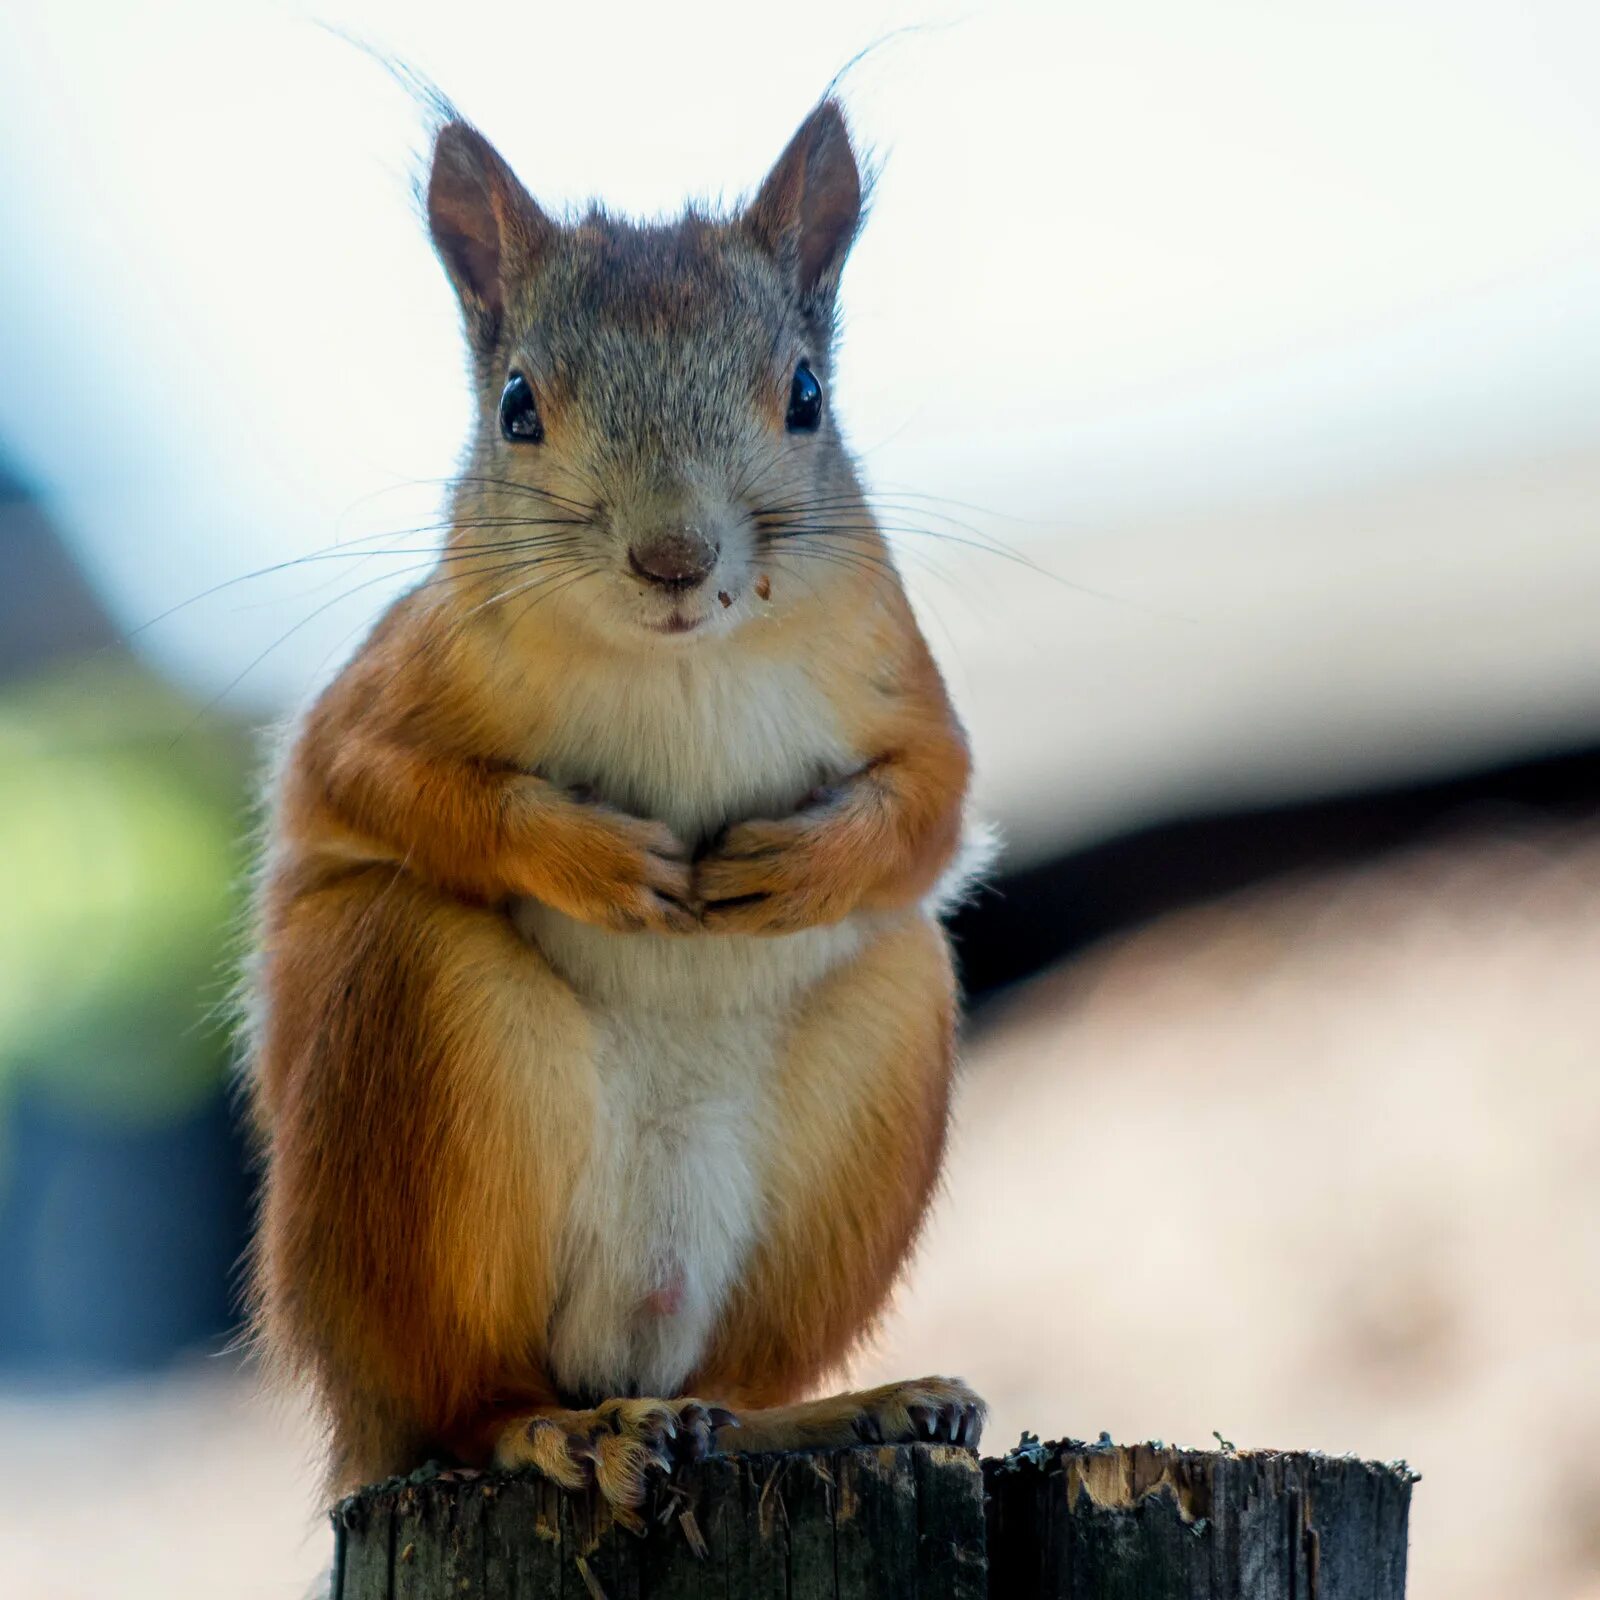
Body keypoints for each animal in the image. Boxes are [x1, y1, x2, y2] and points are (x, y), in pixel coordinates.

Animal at [246, 93, 985, 1516]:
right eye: (517, 406)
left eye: (805, 395)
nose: (674, 558)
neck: (678, 667)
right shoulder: (385, 693)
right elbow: (377, 780)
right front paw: (593, 857)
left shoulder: (902, 680)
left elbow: (931, 804)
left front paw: (795, 868)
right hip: (421, 1029)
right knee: (466, 1404)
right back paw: (561, 1429)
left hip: (879, 1062)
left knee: (733, 1389)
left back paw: (840, 1411)